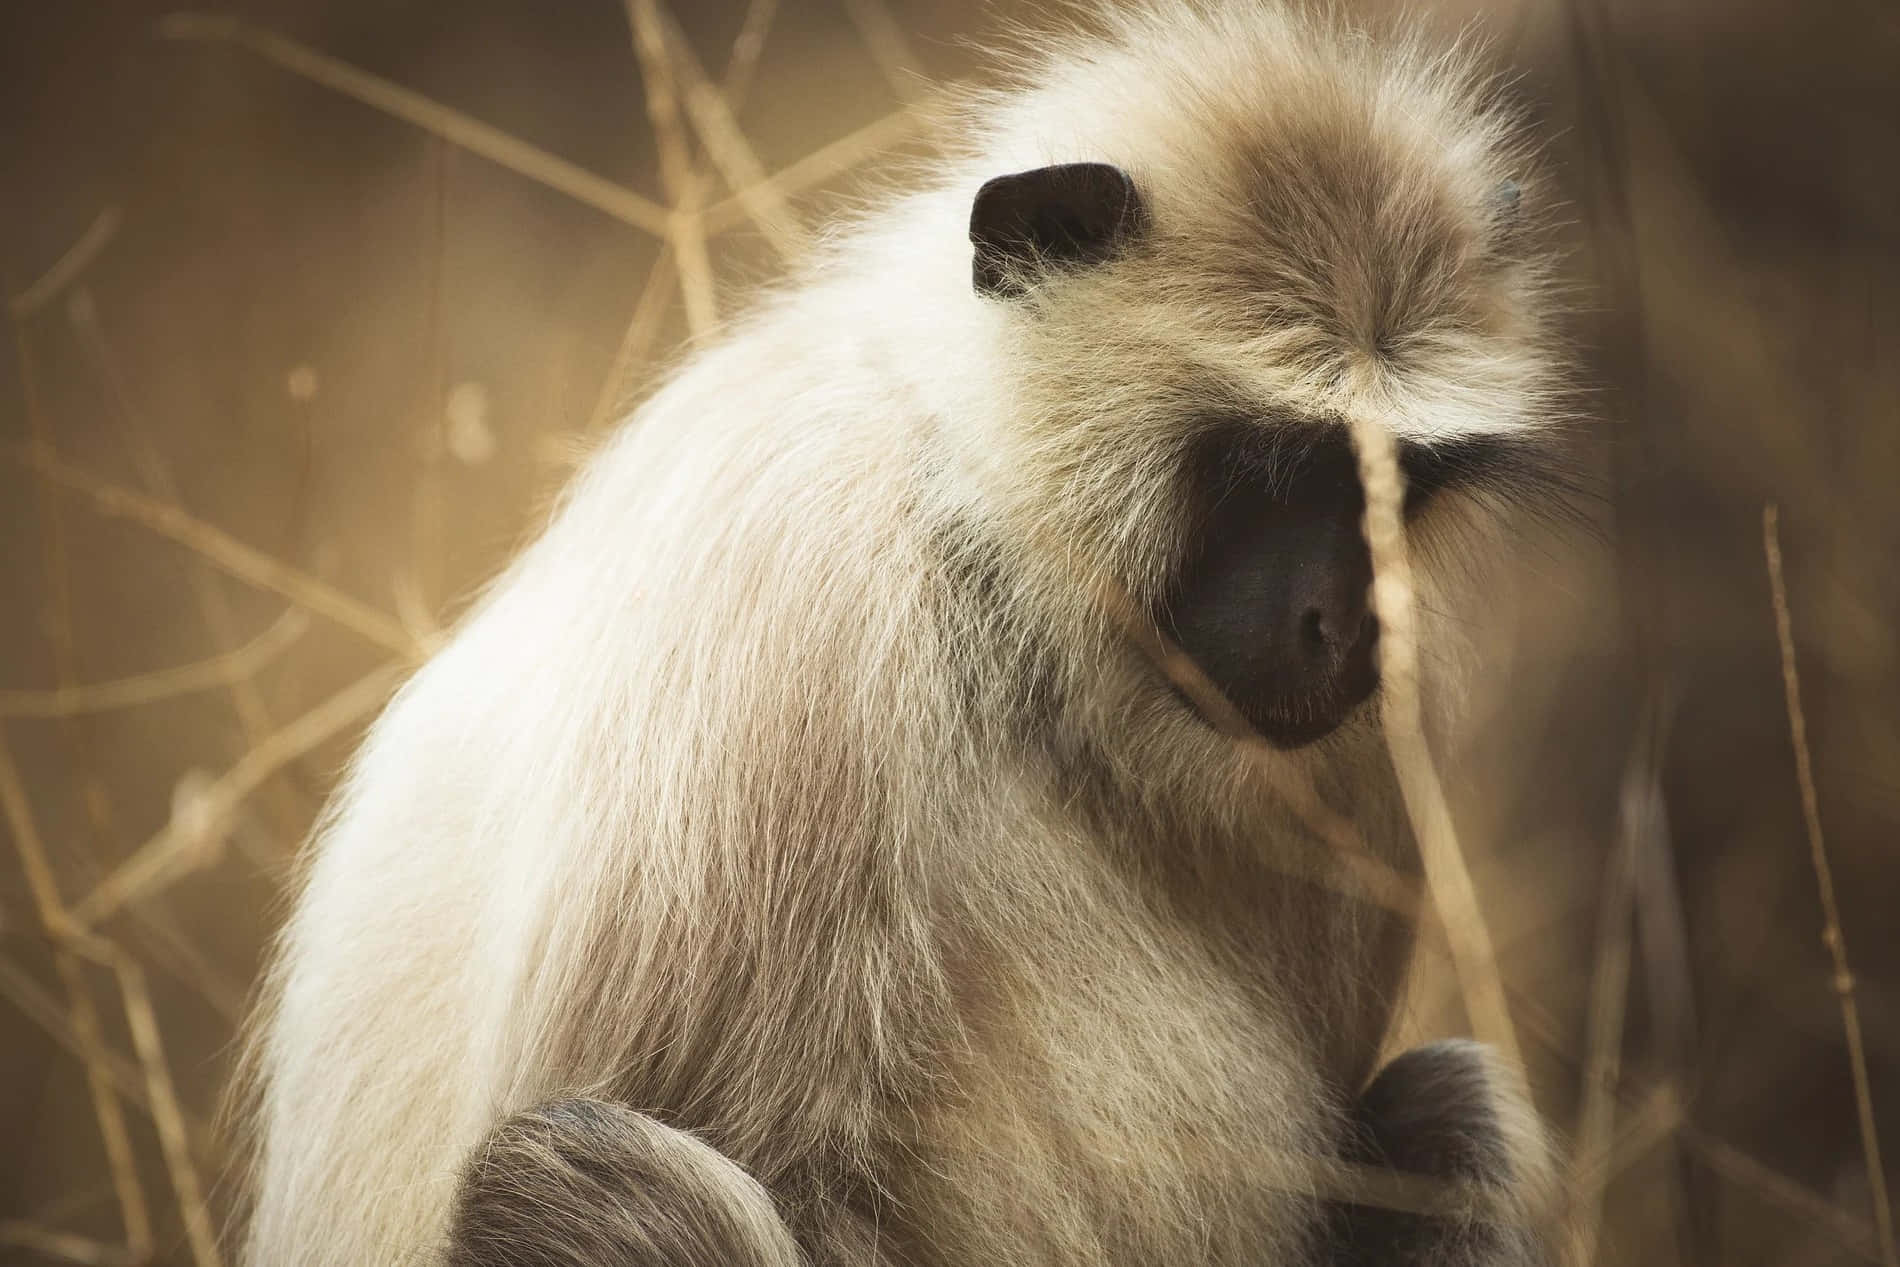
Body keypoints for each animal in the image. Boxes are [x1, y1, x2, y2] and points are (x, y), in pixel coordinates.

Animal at [238, 2, 1575, 1264]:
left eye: (1397, 484)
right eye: (1275, 465)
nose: (1351, 620)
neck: (989, 559)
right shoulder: (791, 572)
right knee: (565, 1172)